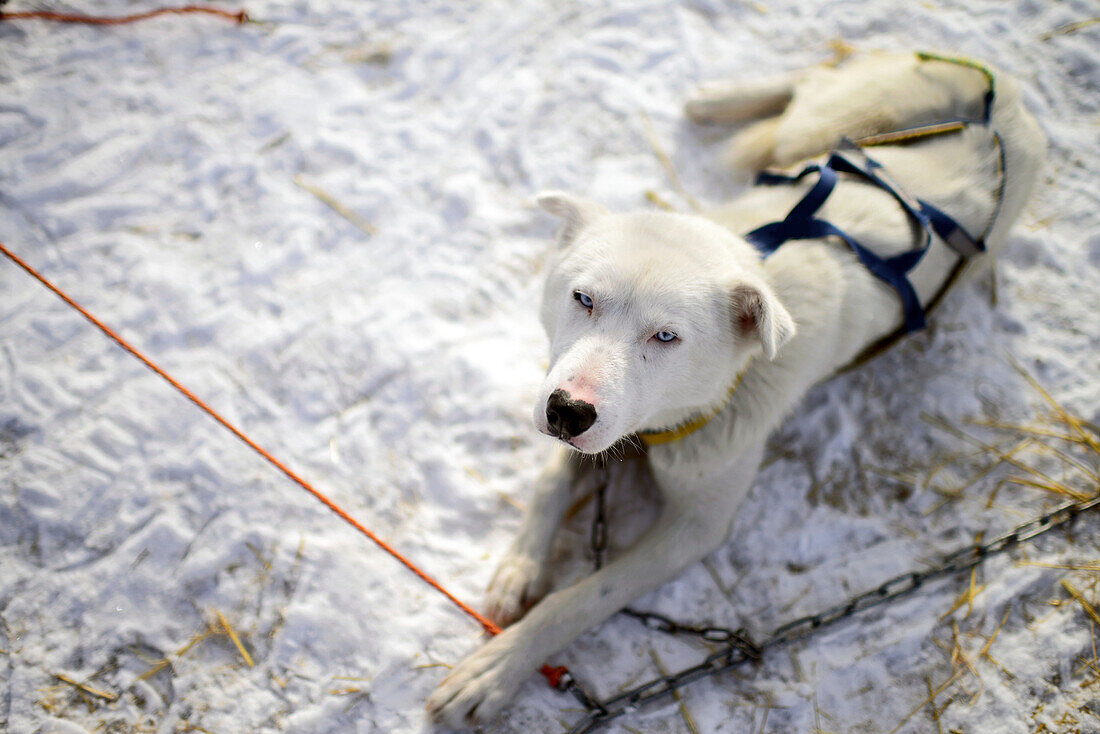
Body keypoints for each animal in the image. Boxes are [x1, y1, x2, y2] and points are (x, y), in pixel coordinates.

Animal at [426, 53, 1038, 730]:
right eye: (583, 298)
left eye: (666, 336)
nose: (567, 412)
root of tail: (1003, 100)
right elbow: (548, 483)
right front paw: (518, 568)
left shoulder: (694, 526)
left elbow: (582, 597)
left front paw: (498, 667)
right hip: (828, 126)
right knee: (813, 83)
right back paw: (717, 100)